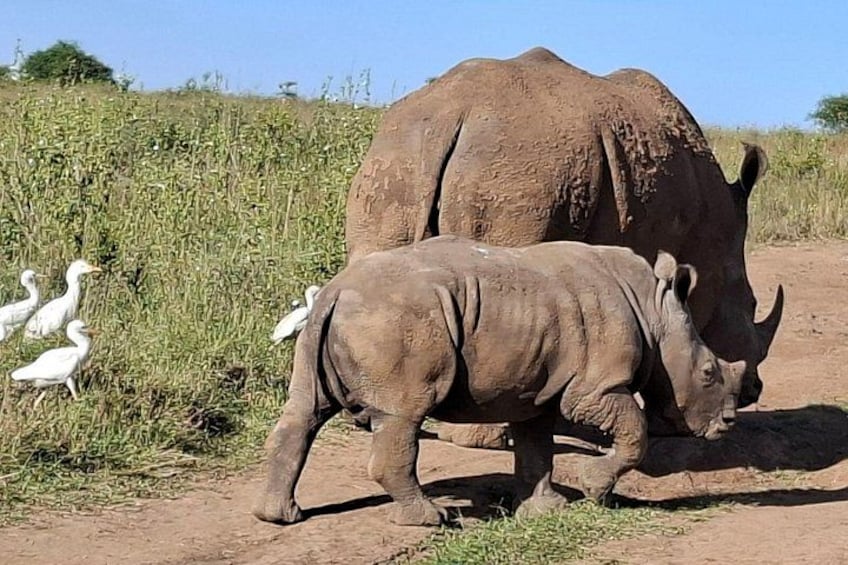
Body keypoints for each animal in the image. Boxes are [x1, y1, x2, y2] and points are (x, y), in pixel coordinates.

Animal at [253, 236, 745, 527]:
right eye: (708, 373)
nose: (727, 424)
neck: (654, 310)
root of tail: (333, 292)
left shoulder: (539, 388)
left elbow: (536, 448)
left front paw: (546, 510)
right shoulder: (593, 389)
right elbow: (634, 431)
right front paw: (594, 488)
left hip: (336, 326)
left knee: (304, 410)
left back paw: (280, 516)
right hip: (395, 322)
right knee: (403, 415)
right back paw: (432, 520)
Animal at [343, 47, 783, 448]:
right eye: (751, 306)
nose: (754, 391)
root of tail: (450, 116)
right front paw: (674, 425)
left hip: (397, 157)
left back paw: (370, 414)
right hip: (515, 166)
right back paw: (492, 437)